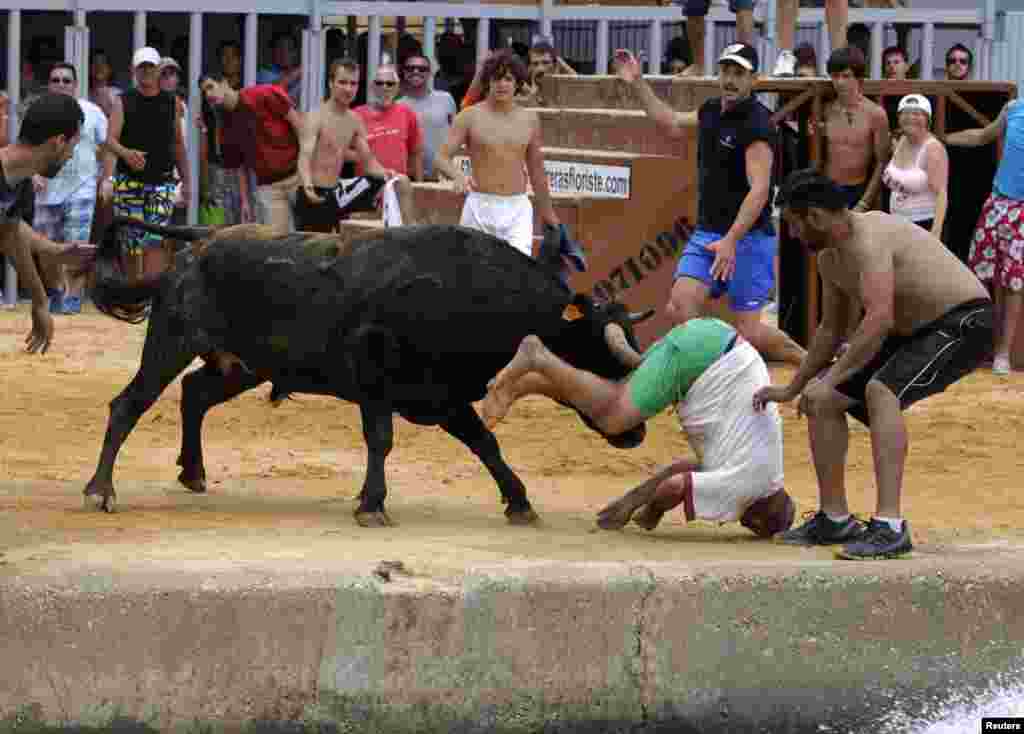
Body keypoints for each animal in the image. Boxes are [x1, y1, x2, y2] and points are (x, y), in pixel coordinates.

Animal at [83, 220, 651, 524]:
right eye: (598, 357)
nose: (637, 433)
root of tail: (200, 241)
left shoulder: (444, 397)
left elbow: (486, 444)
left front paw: (519, 501)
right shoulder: (377, 378)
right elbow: (381, 439)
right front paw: (372, 504)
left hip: (240, 366)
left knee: (194, 394)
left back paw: (194, 472)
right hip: (171, 342)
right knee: (127, 405)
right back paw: (100, 490)